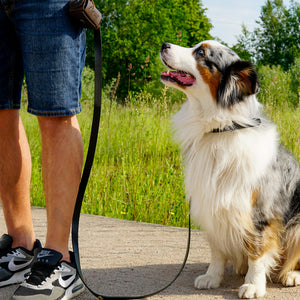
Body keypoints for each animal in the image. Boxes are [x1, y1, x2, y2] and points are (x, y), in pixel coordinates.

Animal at [161, 40, 300, 298]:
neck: (221, 128)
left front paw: (254, 284)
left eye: (201, 53)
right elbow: (217, 250)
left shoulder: (260, 211)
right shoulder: (213, 204)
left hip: (297, 226)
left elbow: (258, 251)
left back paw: (291, 274)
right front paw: (212, 277)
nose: (164, 44)